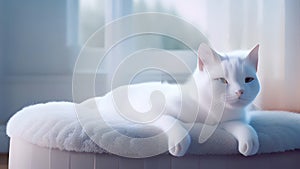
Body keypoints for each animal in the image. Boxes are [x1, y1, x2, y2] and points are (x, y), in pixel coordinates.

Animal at [81, 43, 260, 157]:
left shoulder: (229, 120)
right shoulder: (155, 111)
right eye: (222, 80)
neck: (209, 109)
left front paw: (249, 140)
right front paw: (180, 140)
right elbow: (172, 121)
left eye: (248, 80)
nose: (239, 91)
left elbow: (243, 126)